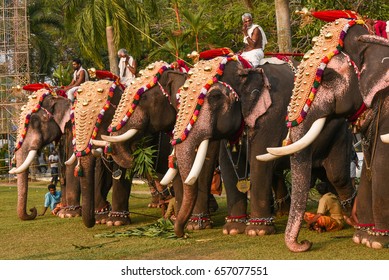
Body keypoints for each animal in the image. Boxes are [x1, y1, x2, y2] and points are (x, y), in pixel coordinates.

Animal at [260, 18, 388, 252]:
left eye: (327, 76)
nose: (304, 243)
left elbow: (382, 161)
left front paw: (375, 241)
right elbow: (369, 165)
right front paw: (362, 237)